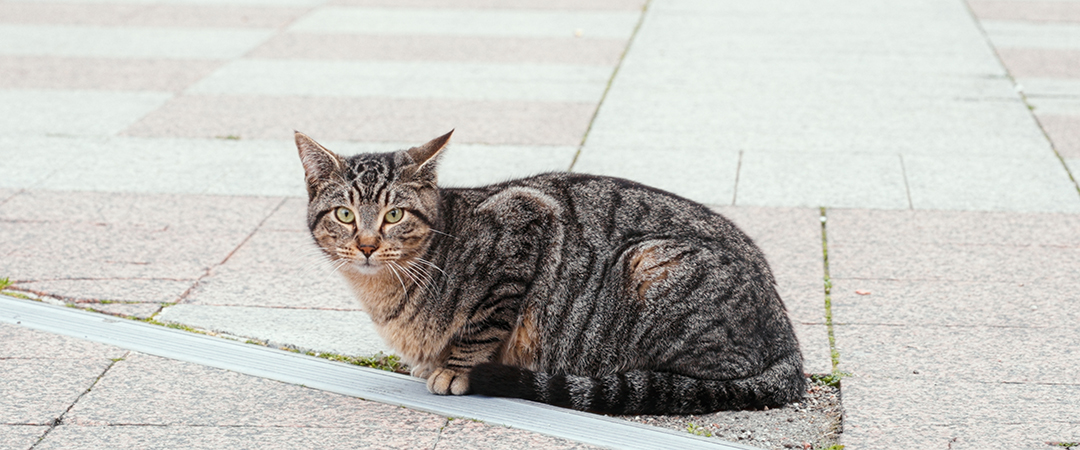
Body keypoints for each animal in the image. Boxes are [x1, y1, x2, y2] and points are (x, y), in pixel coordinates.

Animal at [295, 127, 803, 412]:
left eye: (394, 215)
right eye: (345, 215)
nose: (366, 245)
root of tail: (789, 342)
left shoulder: (524, 223)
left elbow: (480, 328)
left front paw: (454, 369)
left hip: (650, 261)